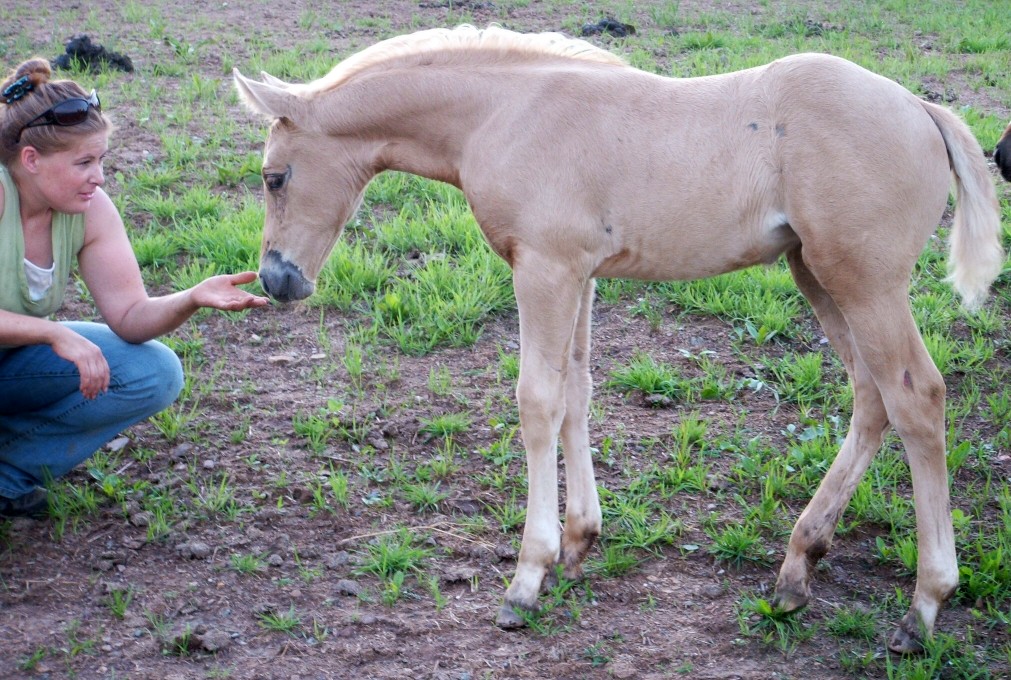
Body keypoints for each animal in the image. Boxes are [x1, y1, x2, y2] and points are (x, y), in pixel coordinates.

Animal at [234, 24, 1004, 654]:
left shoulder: (543, 269)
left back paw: (923, 607)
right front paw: (578, 545)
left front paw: (527, 577)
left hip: (865, 283)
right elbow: (576, 390)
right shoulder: (577, 272)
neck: (501, 113)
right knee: (871, 397)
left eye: (274, 177)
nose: (276, 279)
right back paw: (795, 570)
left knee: (917, 398)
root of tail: (923, 109)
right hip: (815, 272)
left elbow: (537, 400)